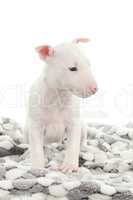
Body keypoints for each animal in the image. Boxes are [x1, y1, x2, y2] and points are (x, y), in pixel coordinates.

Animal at [25, 38, 97, 173]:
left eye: (89, 64)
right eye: (73, 68)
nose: (95, 89)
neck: (59, 94)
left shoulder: (74, 123)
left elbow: (73, 144)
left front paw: (69, 166)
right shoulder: (36, 124)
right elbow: (36, 148)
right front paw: (37, 167)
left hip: (83, 126)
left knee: (80, 141)